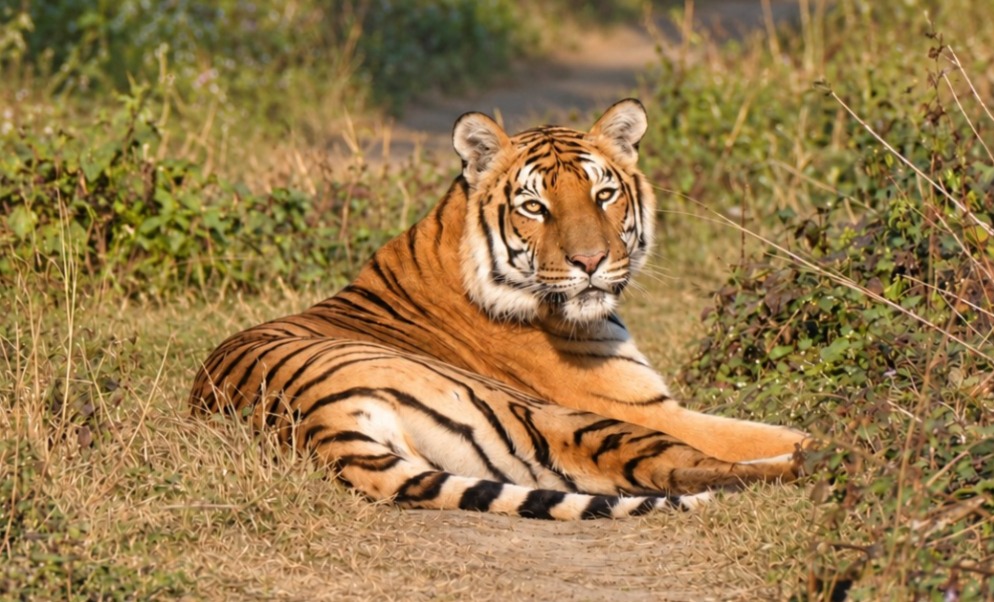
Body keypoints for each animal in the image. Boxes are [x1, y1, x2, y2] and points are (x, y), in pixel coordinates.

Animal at [189, 99, 808, 520]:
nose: (590, 261)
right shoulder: (648, 407)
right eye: (534, 207)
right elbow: (760, 432)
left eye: (603, 195)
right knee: (682, 467)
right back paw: (820, 460)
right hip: (556, 417)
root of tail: (317, 423)